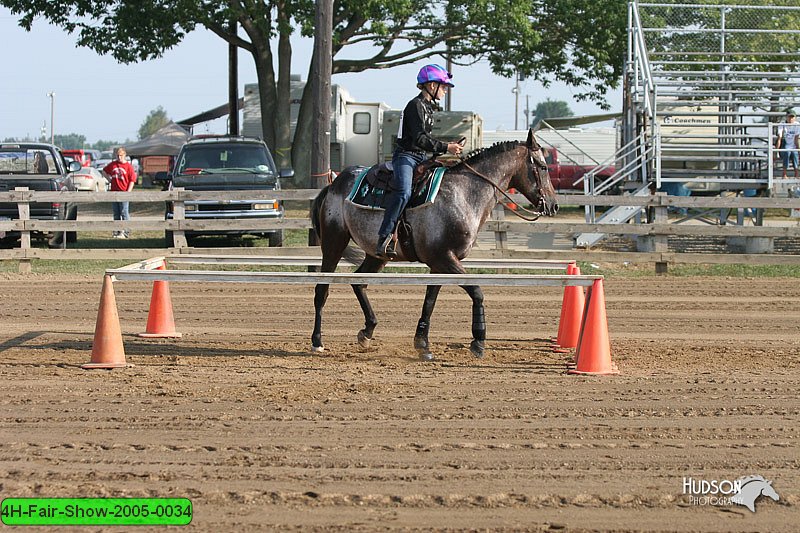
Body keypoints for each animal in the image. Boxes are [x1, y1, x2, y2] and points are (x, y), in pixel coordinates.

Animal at [310, 129, 560, 362]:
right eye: (543, 166)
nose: (554, 205)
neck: (464, 193)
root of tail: (334, 184)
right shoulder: (444, 258)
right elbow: (476, 292)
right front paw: (478, 341)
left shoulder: (439, 263)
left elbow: (430, 299)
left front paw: (422, 344)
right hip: (334, 241)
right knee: (322, 289)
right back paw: (317, 341)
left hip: (376, 254)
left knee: (359, 282)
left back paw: (367, 331)